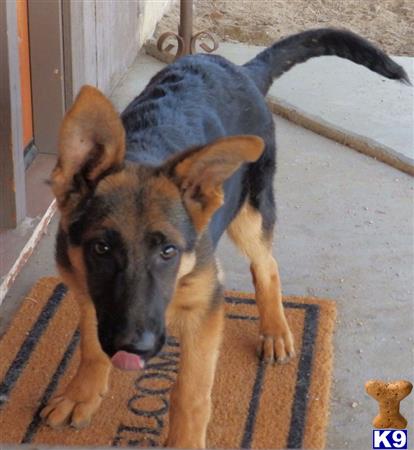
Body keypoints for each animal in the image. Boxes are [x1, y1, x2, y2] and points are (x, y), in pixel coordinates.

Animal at [41, 29, 408, 448]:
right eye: (101, 248)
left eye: (168, 251)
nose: (137, 347)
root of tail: (242, 69)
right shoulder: (85, 289)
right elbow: (90, 347)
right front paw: (82, 393)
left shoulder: (206, 309)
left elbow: (191, 391)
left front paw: (184, 440)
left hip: (250, 211)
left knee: (266, 265)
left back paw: (275, 329)